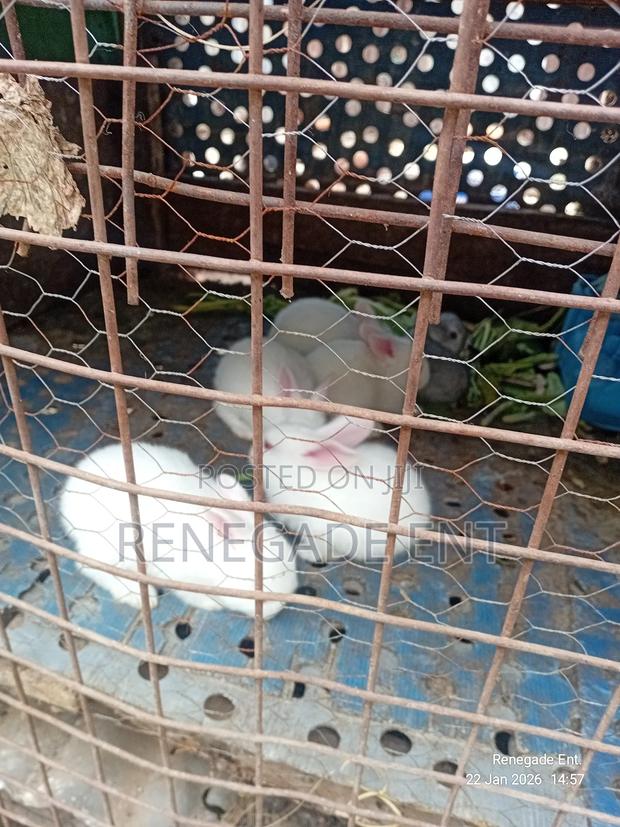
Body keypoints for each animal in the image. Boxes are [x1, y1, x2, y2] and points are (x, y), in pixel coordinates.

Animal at [59, 442, 298, 618]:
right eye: (260, 586)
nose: (279, 608)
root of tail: (69, 493)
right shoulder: (177, 576)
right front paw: (212, 604)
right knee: (90, 567)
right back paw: (138, 595)